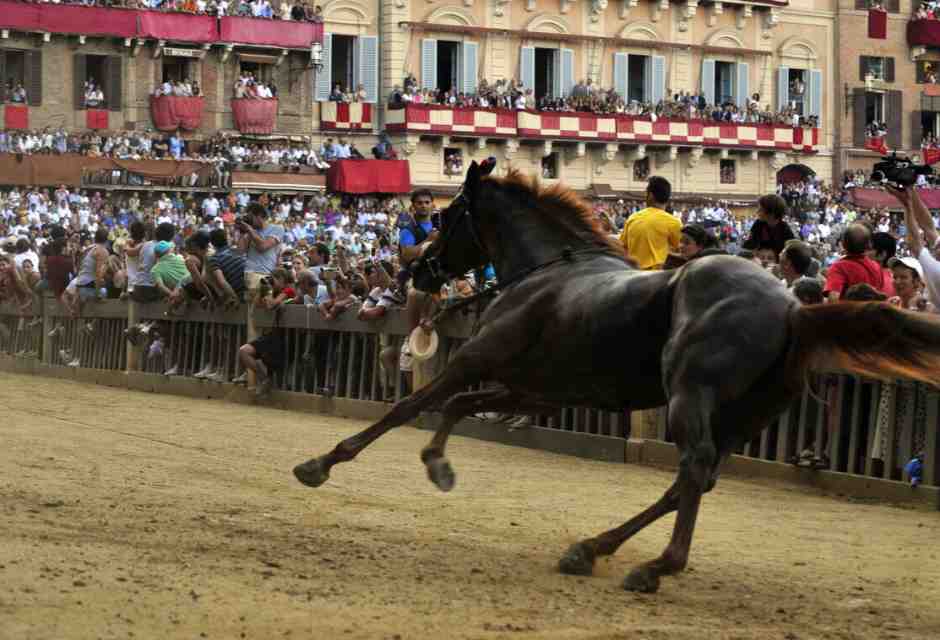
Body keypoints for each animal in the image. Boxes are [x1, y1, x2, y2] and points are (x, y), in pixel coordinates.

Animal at [294, 160, 940, 593]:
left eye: (450, 215)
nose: (420, 270)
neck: (547, 273)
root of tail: (792, 309)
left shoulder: (475, 360)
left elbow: (413, 405)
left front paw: (322, 462)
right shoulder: (538, 390)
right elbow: (455, 408)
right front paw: (439, 464)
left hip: (690, 396)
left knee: (693, 469)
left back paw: (655, 566)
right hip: (743, 416)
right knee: (692, 481)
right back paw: (593, 548)